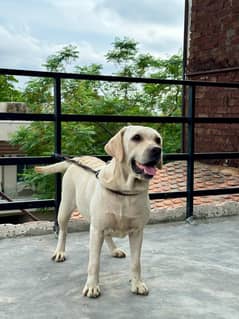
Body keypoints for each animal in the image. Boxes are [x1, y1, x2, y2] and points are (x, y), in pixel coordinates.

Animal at [35, 126, 162, 298]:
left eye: (158, 140)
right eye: (136, 138)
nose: (157, 150)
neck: (125, 190)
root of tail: (77, 159)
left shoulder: (137, 231)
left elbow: (136, 262)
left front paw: (137, 284)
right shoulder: (96, 230)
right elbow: (94, 262)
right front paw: (92, 286)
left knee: (107, 234)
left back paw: (114, 249)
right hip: (65, 208)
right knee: (63, 231)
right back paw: (60, 252)